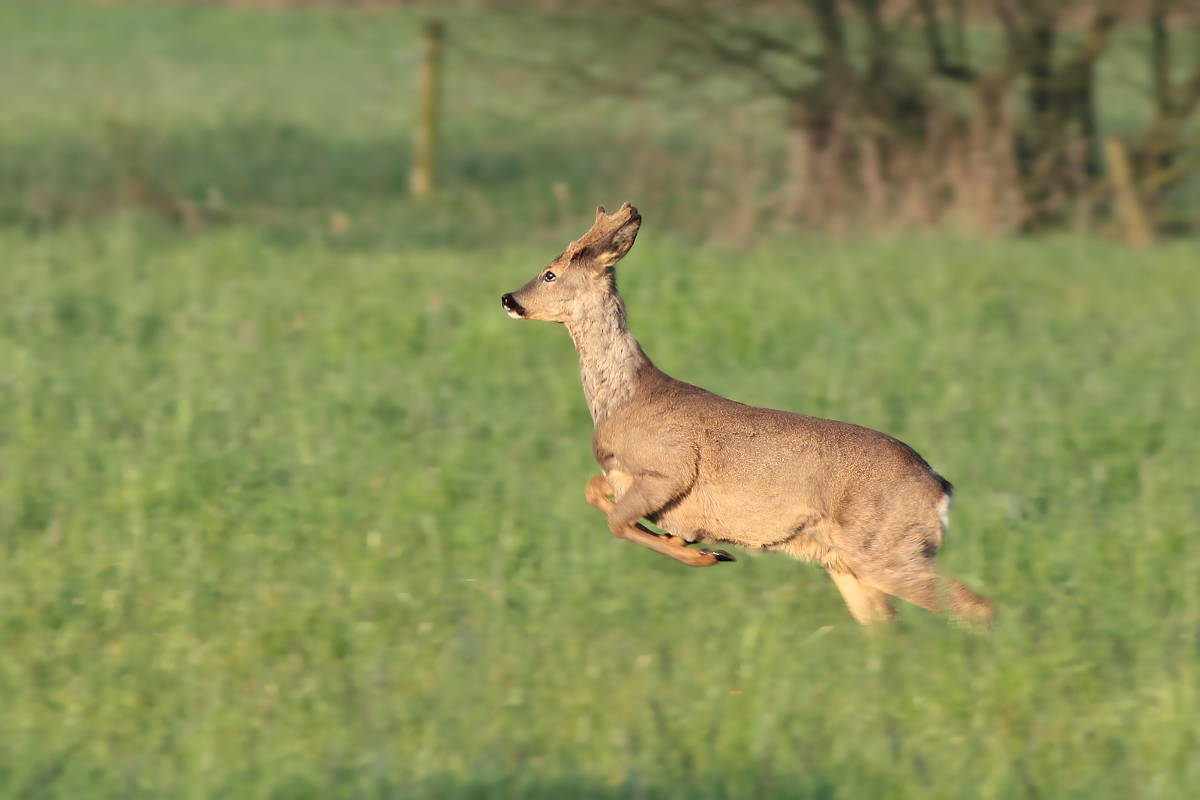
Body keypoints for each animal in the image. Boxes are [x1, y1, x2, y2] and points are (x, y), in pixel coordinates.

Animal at [499, 203, 993, 628]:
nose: (507, 297)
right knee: (889, 625)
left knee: (976, 606)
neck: (624, 397)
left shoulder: (669, 468)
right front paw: (685, 542)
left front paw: (707, 553)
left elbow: (617, 522)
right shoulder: (620, 474)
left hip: (887, 550)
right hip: (850, 561)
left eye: (550, 273)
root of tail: (940, 488)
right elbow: (593, 493)